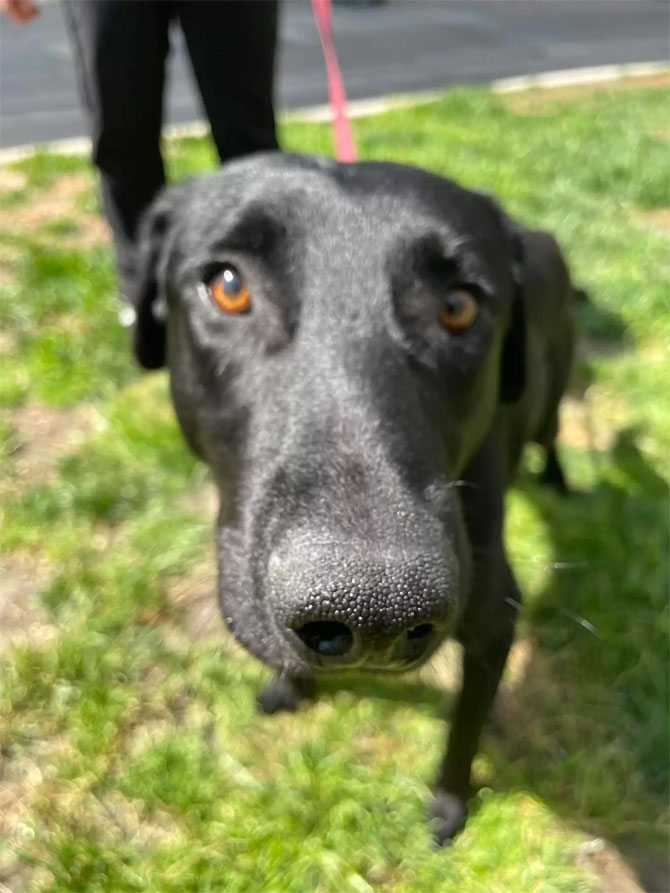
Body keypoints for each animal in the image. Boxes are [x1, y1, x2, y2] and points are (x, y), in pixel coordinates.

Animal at [133, 153, 584, 844]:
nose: (374, 611)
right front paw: (291, 686)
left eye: (458, 306)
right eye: (229, 286)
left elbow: (464, 731)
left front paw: (447, 806)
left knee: (553, 433)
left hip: (551, 394)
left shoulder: (494, 621)